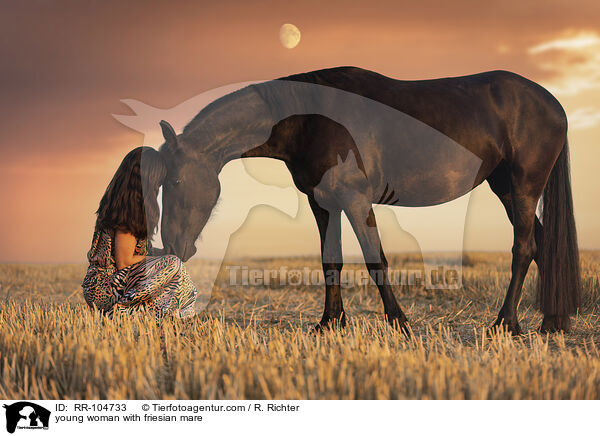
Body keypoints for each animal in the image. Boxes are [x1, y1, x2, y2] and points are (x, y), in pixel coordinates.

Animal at [156, 66, 580, 336]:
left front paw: (399, 322)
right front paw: (329, 324)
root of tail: (553, 103)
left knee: (524, 249)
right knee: (543, 245)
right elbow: (331, 261)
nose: (175, 246)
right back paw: (551, 323)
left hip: (524, 188)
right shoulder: (323, 203)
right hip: (505, 188)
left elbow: (376, 260)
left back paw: (505, 324)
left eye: (174, 180)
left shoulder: (356, 200)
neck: (309, 118)